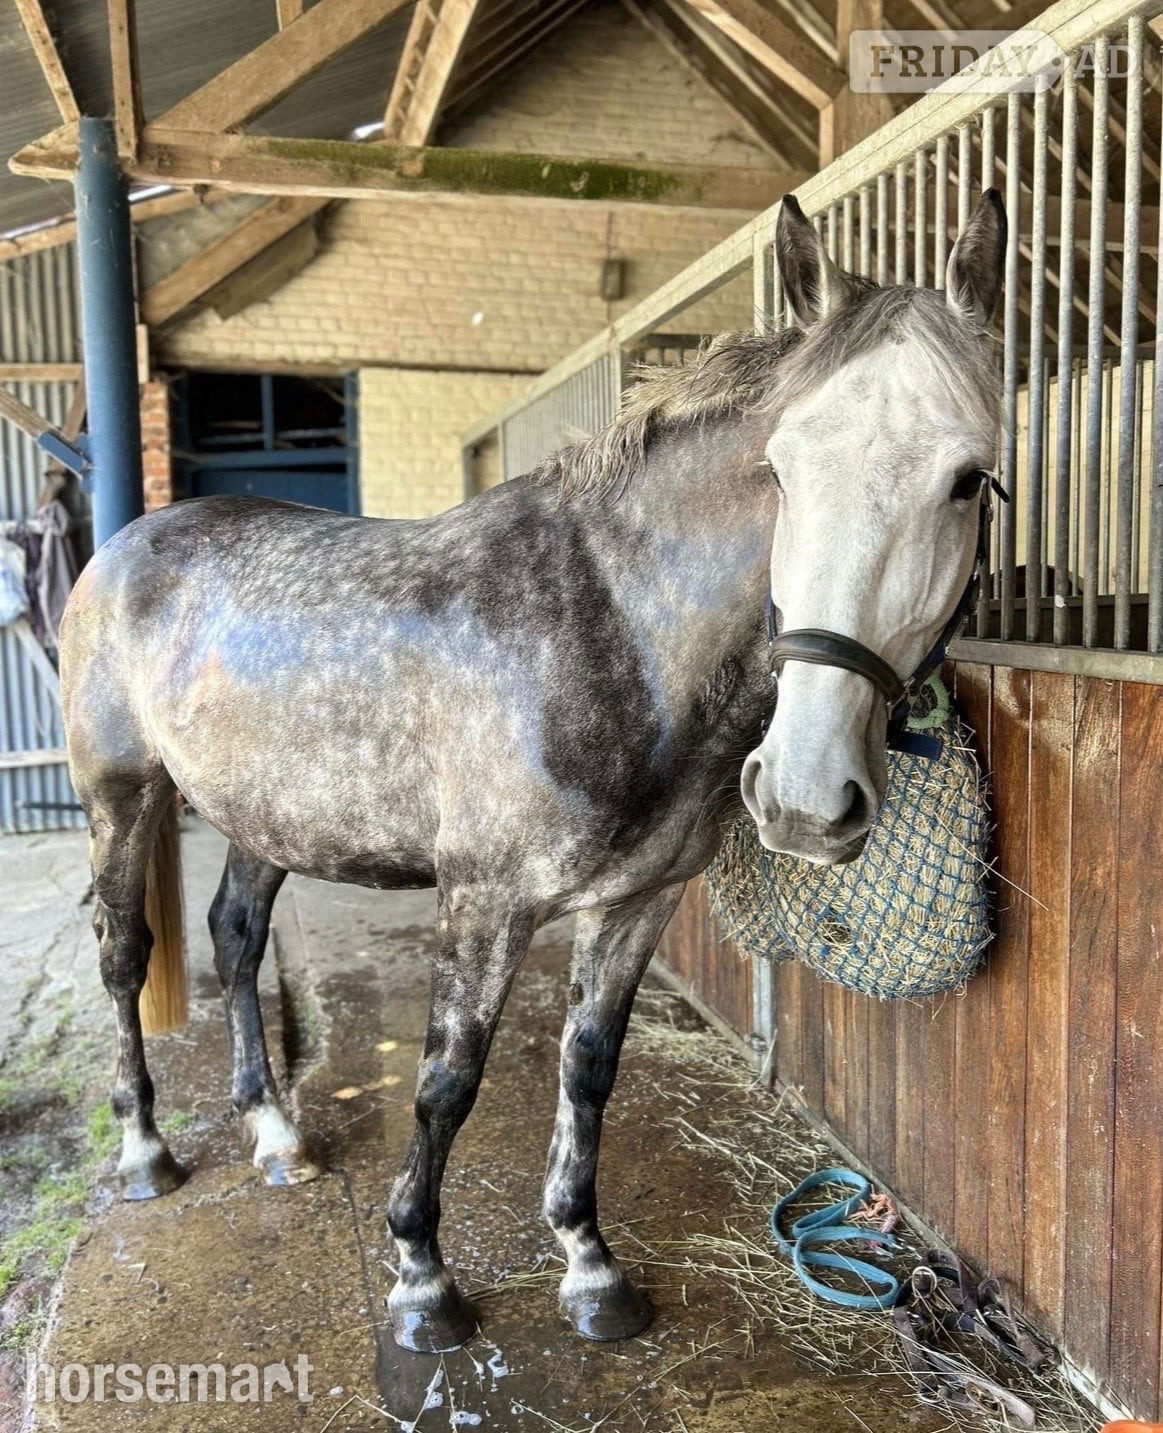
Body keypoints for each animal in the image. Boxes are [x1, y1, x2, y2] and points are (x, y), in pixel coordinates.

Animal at [59, 191, 1005, 1354]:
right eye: (779, 471)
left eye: (966, 479)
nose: (802, 796)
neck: (614, 629)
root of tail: (125, 543)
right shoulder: (485, 900)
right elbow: (446, 1080)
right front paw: (422, 1279)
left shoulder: (638, 902)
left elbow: (588, 1069)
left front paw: (590, 1267)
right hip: (121, 794)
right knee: (122, 953)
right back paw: (146, 1151)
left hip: (265, 815)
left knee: (235, 937)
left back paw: (277, 1134)